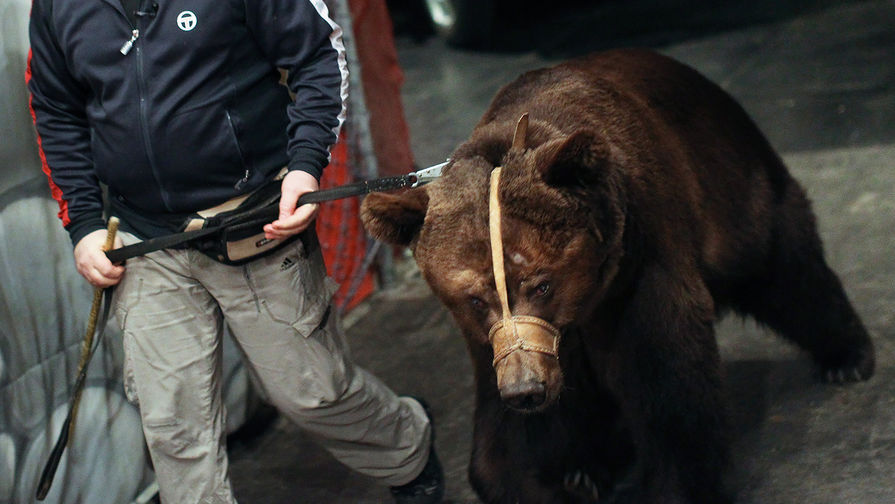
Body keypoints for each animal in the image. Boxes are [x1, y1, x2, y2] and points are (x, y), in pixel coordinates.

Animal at [358, 48, 876, 504]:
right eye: (476, 299)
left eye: (541, 283)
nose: (525, 389)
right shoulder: (499, 341)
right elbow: (508, 437)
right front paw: (536, 478)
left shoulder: (641, 267)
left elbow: (670, 388)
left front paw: (678, 483)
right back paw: (588, 468)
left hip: (731, 187)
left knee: (784, 266)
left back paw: (847, 356)